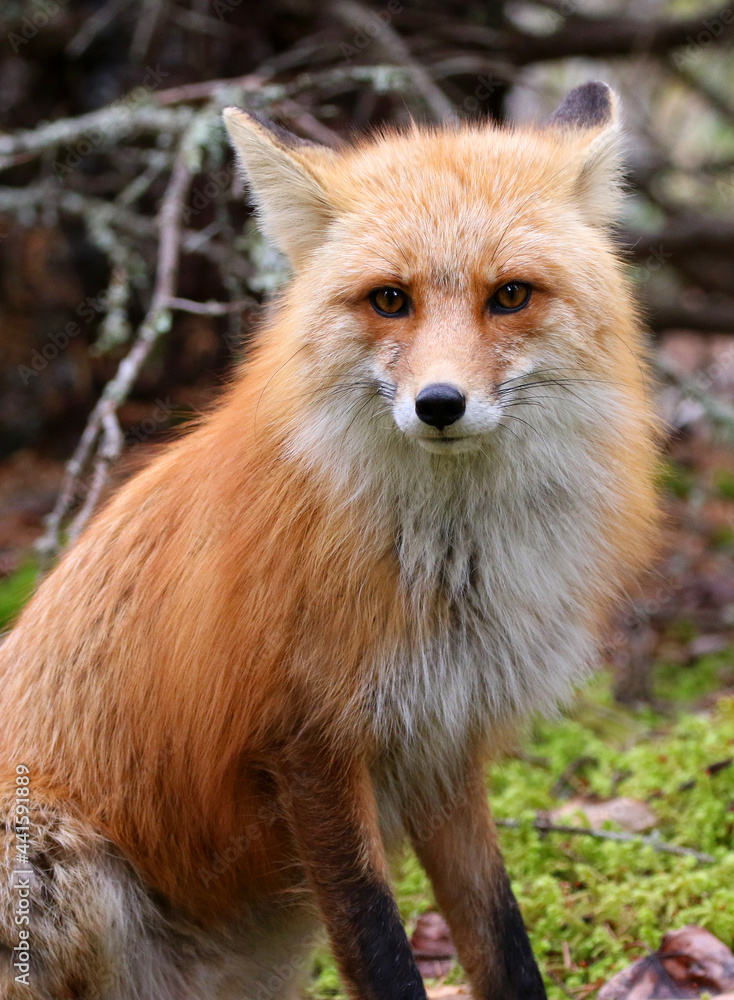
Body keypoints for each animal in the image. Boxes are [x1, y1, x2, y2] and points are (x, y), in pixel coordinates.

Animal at [0, 84, 660, 1000]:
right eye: (390, 299)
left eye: (511, 295)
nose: (439, 404)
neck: (451, 570)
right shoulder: (306, 744)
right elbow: (380, 947)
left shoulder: (444, 743)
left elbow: (503, 939)